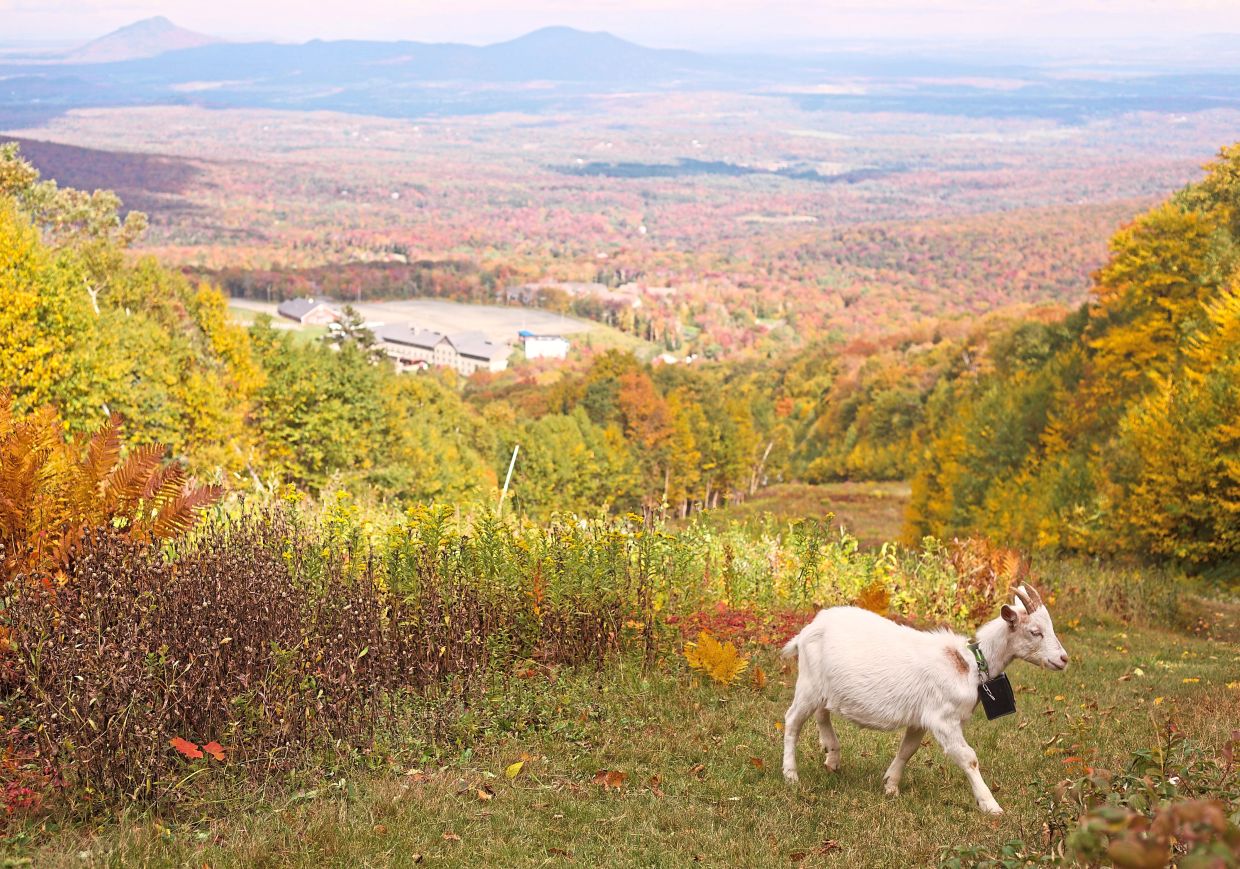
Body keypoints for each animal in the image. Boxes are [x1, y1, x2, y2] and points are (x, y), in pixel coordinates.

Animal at [779, 583, 1068, 814]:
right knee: (793, 721)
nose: (1064, 659)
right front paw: (991, 806)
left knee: (822, 712)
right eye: (1035, 631)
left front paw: (891, 786)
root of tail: (808, 630)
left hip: (823, 687)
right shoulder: (943, 718)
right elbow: (968, 757)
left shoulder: (920, 718)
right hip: (808, 684)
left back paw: (832, 757)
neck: (969, 665)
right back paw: (791, 775)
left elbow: (907, 750)